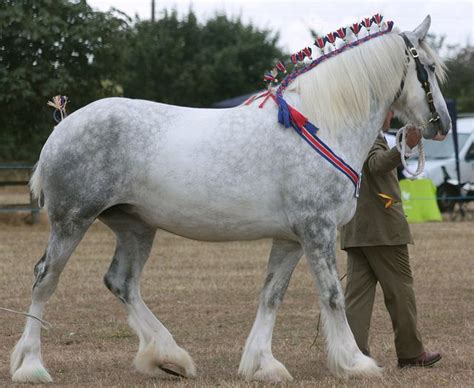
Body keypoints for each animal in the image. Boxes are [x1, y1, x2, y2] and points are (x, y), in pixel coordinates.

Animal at [9, 14, 450, 382]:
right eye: (428, 69)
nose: (442, 124)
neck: (323, 123)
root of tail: (63, 125)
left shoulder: (291, 238)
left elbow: (271, 295)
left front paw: (263, 364)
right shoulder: (318, 230)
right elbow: (332, 296)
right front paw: (355, 362)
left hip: (135, 226)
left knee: (121, 282)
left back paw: (170, 357)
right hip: (72, 221)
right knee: (45, 279)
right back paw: (31, 366)